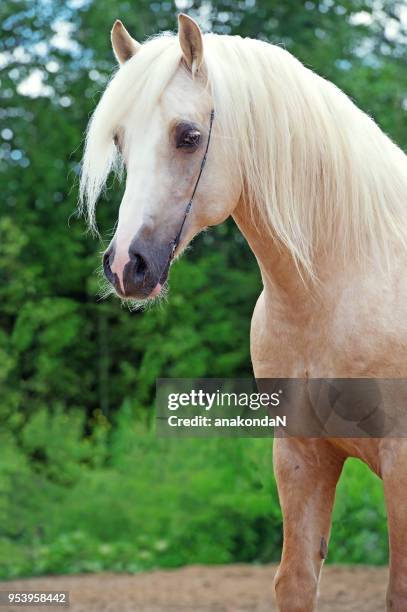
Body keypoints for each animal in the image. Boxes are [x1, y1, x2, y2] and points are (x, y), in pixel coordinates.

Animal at [81, 14, 407, 612]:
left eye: (188, 136)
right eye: (119, 140)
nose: (125, 266)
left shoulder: (400, 463)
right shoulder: (300, 454)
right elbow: (294, 581)